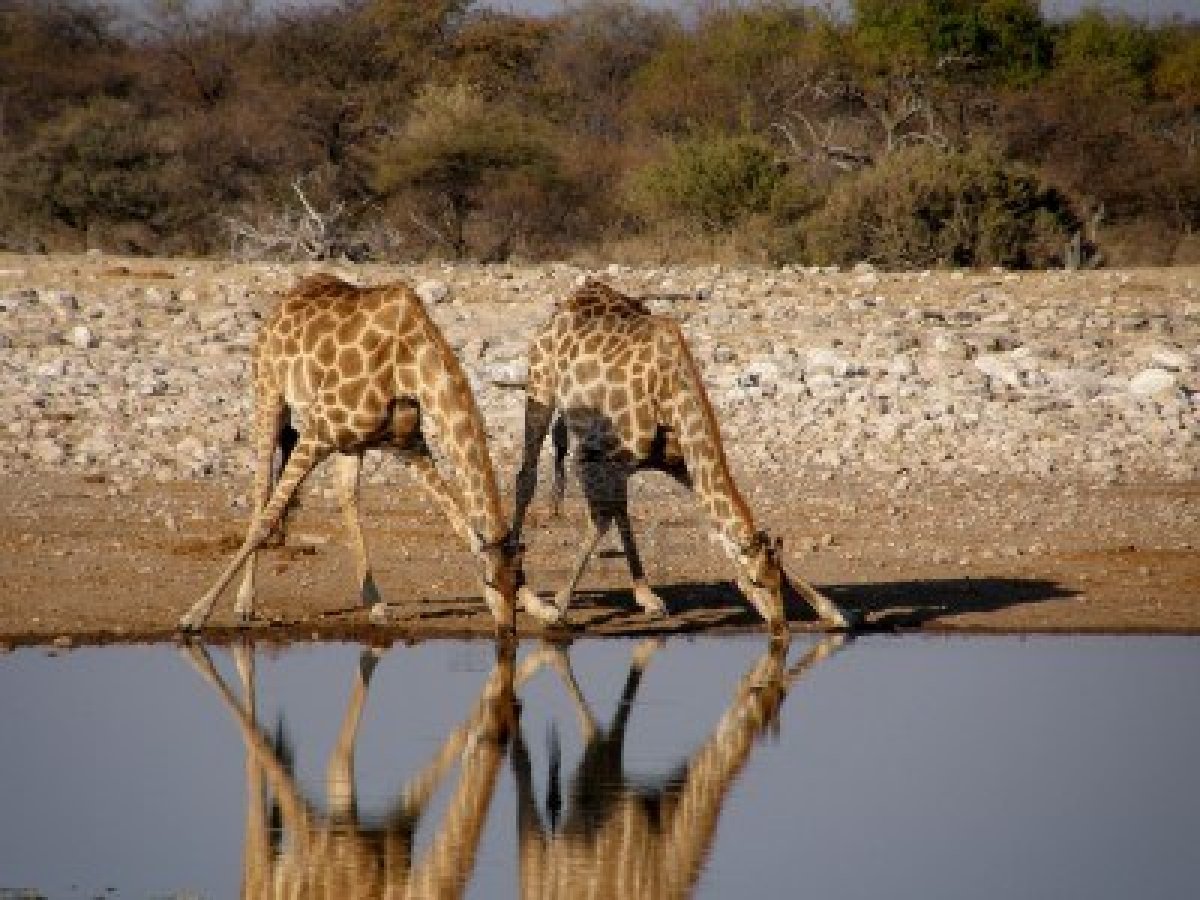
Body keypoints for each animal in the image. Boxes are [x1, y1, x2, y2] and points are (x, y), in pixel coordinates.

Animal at [177, 274, 535, 633]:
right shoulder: (318, 432)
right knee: (262, 493)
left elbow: (460, 522)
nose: (507, 629)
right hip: (269, 393)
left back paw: (375, 603)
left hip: (351, 443)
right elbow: (267, 521)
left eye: (519, 579)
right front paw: (195, 614)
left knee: (345, 494)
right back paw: (244, 605)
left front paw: (541, 609)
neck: (410, 367)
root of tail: (285, 299)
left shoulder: (407, 443)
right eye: (489, 580)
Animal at [511, 278, 849, 638]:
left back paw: (647, 596)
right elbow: (598, 522)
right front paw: (554, 609)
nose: (779, 628)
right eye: (756, 581)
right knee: (526, 478)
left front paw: (834, 611)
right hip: (541, 387)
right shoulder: (595, 456)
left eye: (777, 582)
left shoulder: (677, 461)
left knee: (619, 508)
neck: (673, 395)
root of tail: (566, 304)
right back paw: (521, 589)